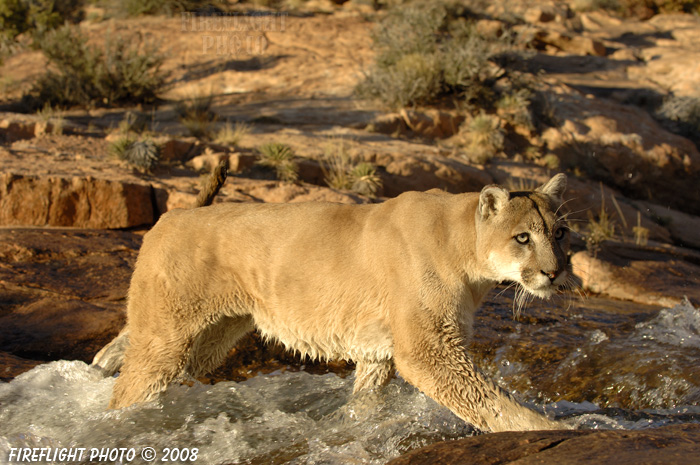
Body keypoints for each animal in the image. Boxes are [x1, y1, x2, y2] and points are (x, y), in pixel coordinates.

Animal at [98, 173, 572, 432]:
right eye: (523, 237)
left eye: (560, 233)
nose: (555, 272)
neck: (465, 248)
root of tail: (171, 215)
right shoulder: (428, 349)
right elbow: (491, 402)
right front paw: (553, 428)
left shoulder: (381, 351)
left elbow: (366, 403)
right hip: (167, 341)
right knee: (126, 392)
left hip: (206, 342)